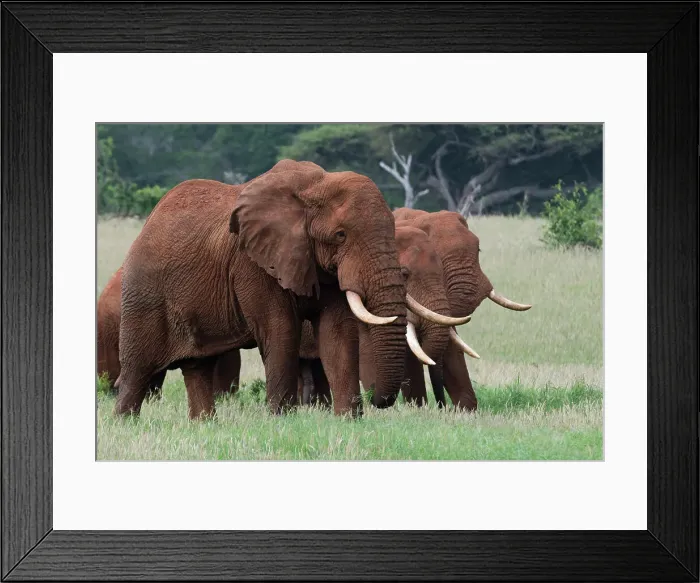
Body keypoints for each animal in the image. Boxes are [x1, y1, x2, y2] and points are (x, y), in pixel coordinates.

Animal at [115, 159, 410, 420]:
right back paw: (125, 423)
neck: (315, 185)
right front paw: (282, 420)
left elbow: (336, 333)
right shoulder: (252, 264)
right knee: (136, 371)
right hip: (144, 293)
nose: (376, 399)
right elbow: (280, 329)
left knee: (198, 367)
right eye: (341, 235)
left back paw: (205, 425)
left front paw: (349, 420)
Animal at [392, 208, 532, 410]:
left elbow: (452, 346)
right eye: (405, 274)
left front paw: (466, 410)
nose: (442, 406)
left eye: (478, 251)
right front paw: (419, 409)